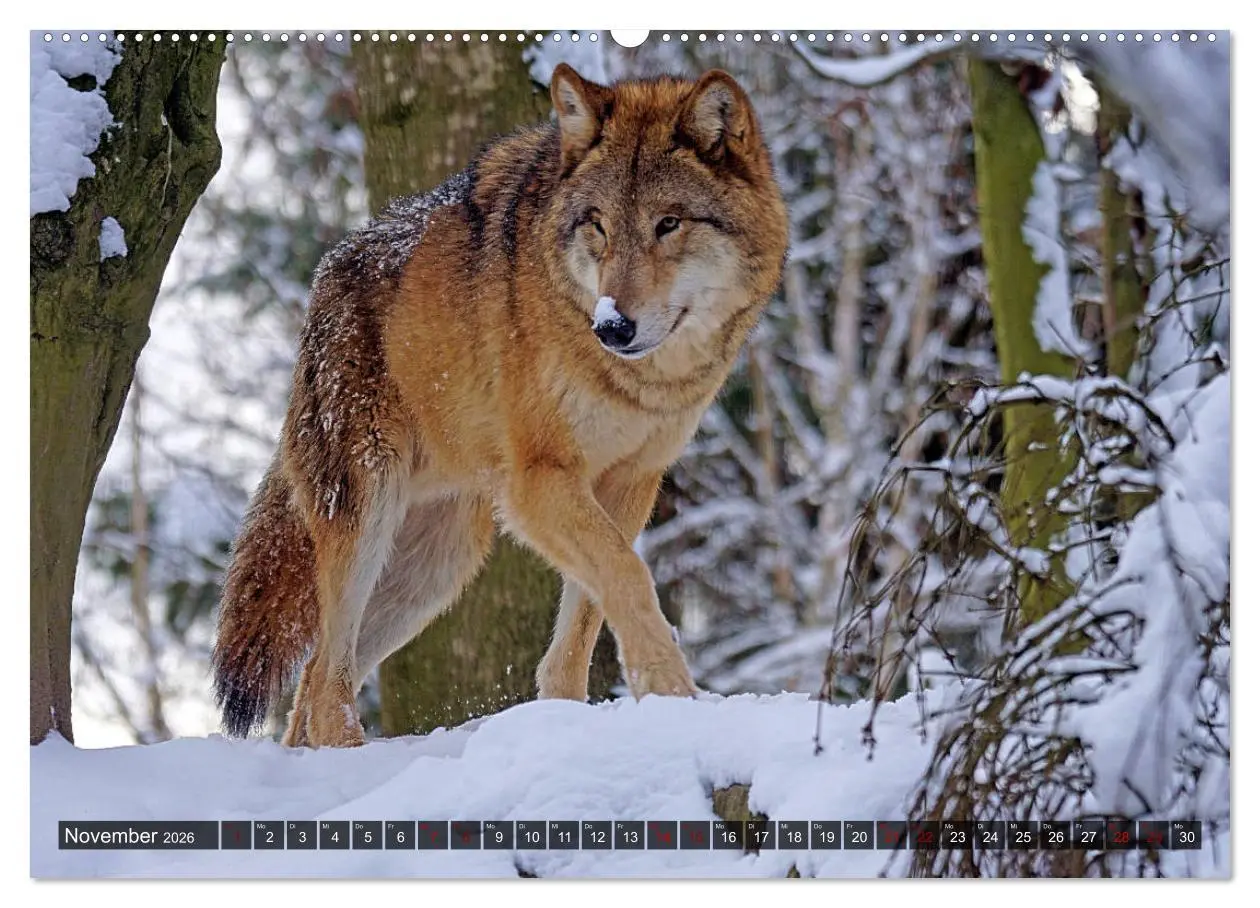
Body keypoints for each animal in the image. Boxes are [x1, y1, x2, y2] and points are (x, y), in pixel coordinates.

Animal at [212, 63, 789, 747]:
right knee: (327, 677)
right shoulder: (538, 481)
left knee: (315, 679)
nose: (612, 326)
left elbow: (583, 624)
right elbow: (628, 576)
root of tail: (324, 279)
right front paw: (672, 697)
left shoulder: (631, 484)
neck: (640, 382)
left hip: (438, 567)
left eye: (669, 224)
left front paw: (573, 720)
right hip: (370, 515)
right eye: (598, 224)